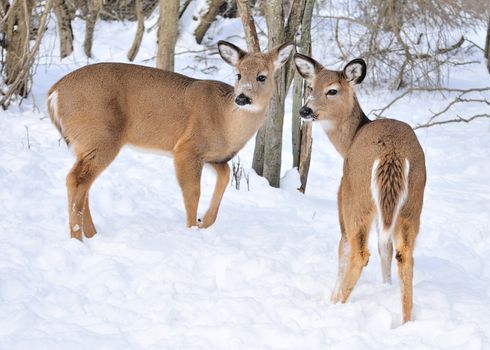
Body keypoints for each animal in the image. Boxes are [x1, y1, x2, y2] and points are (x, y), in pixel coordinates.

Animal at [48, 41, 294, 241]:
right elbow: (193, 193)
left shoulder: (215, 157)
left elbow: (224, 178)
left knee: (84, 184)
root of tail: (54, 93)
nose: (242, 98)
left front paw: (205, 221)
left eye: (262, 76)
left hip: (85, 143)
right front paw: (192, 230)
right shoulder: (186, 149)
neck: (226, 122)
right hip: (100, 136)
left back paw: (92, 235)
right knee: (75, 179)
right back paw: (77, 238)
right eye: (238, 75)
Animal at [292, 52, 426, 322]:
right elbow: (385, 248)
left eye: (332, 90)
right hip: (412, 203)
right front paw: (385, 286)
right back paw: (406, 320)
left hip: (358, 197)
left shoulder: (343, 193)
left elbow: (343, 248)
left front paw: (332, 295)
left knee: (358, 252)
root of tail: (392, 154)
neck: (350, 139)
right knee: (404, 254)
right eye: (311, 87)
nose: (305, 109)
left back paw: (336, 306)